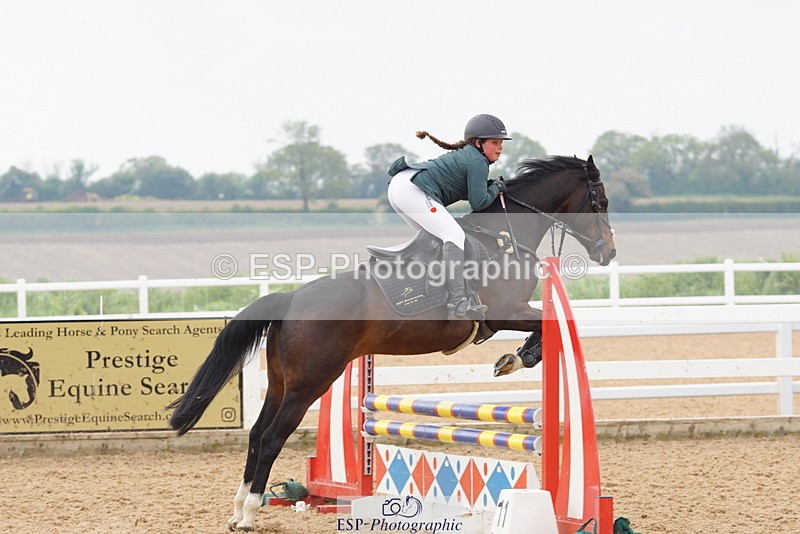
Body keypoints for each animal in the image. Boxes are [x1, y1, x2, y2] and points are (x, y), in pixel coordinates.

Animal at [168, 154, 617, 531]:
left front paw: (515, 357)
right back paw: (249, 513)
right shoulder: (506, 310)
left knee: (257, 434)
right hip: (308, 384)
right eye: (601, 200)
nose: (609, 254)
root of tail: (292, 298)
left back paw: (238, 507)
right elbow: (548, 323)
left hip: (281, 383)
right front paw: (521, 357)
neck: (505, 236)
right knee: (271, 438)